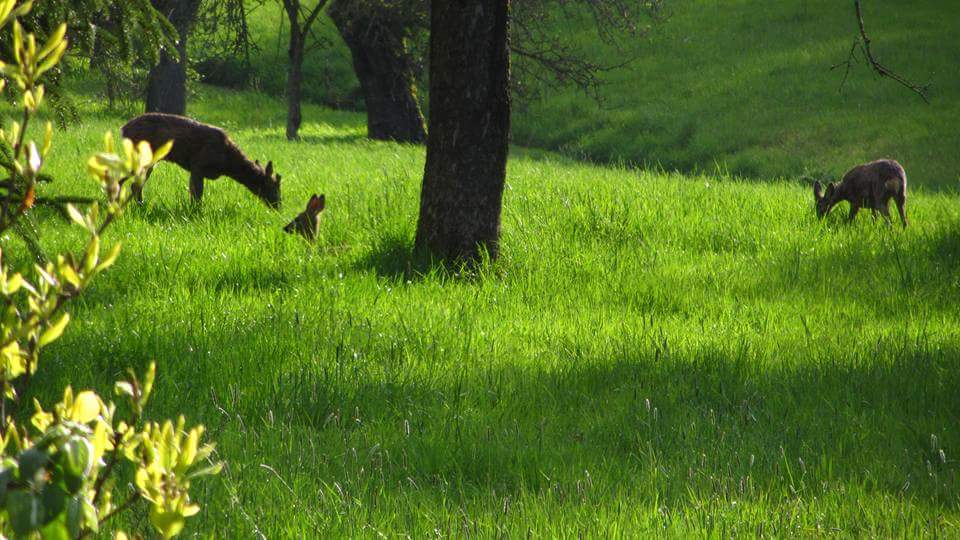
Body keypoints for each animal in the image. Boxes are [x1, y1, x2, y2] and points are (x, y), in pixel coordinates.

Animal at [118, 113, 280, 208]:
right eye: (274, 187)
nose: (278, 206)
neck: (227, 163)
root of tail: (123, 129)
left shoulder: (196, 169)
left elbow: (194, 194)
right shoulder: (198, 165)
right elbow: (197, 195)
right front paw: (195, 212)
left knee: (133, 183)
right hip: (141, 156)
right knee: (126, 180)